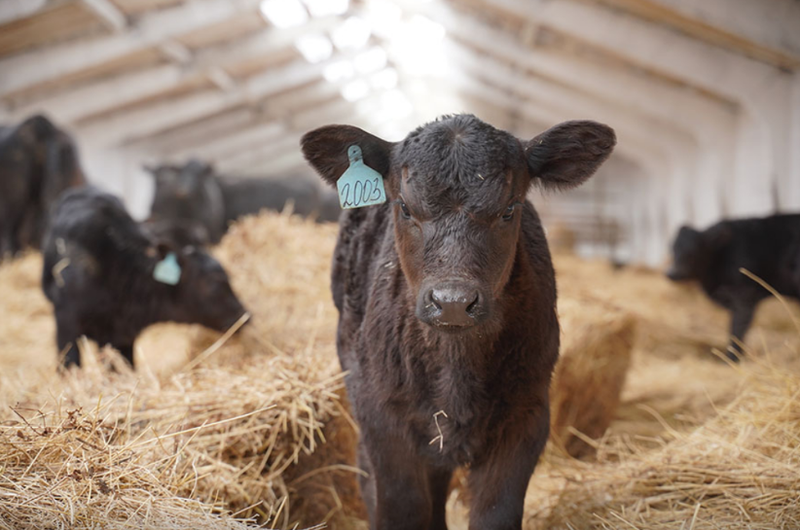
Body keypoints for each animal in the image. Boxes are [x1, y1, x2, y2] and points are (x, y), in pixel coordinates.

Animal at [302, 113, 620, 524]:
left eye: (509, 208)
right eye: (405, 207)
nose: (452, 302)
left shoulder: (526, 415)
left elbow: (496, 511)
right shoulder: (381, 416)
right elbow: (400, 505)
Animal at [664, 213, 800, 358]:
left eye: (694, 252)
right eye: (673, 249)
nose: (671, 273)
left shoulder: (744, 297)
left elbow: (737, 330)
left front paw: (731, 358)